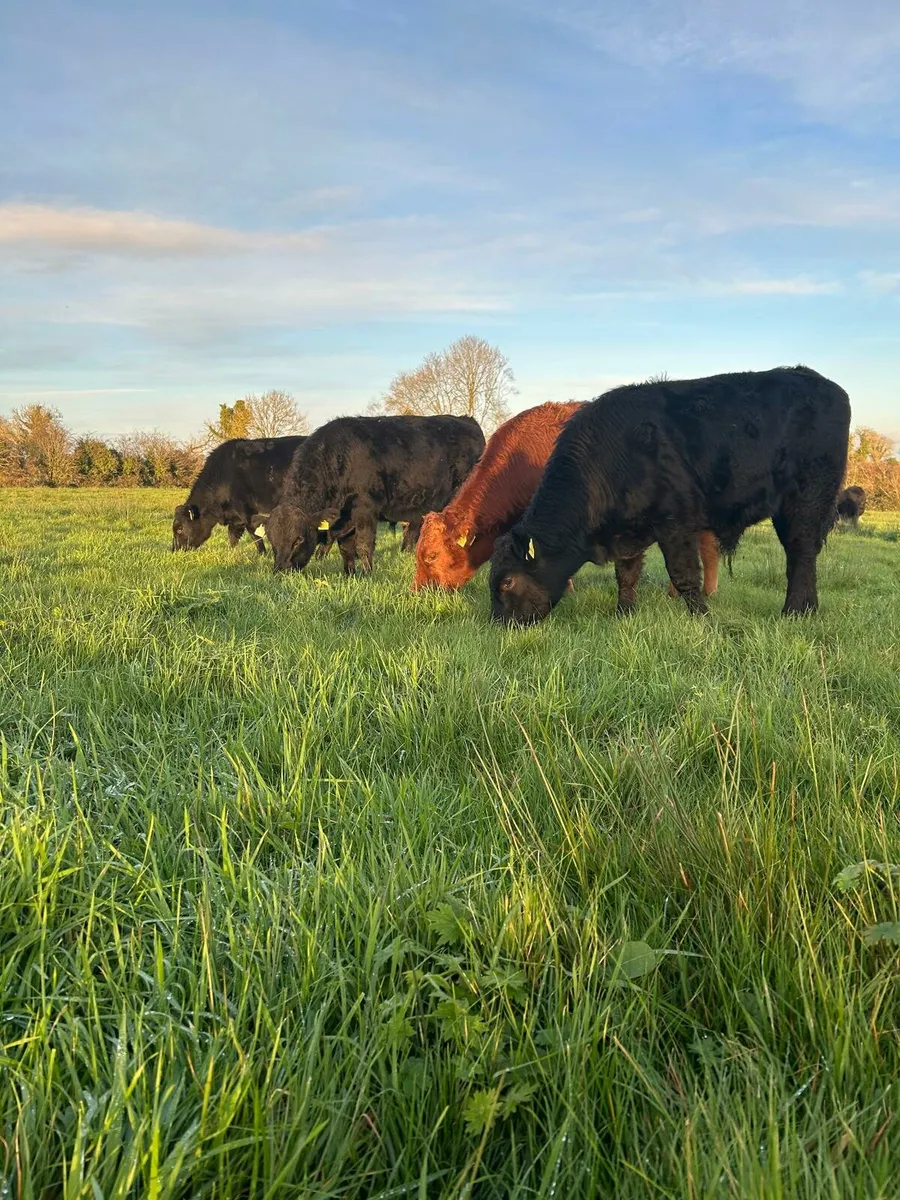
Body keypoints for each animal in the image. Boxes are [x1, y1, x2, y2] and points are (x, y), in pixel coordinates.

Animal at [171, 436, 306, 553]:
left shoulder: (244, 508)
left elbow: (254, 532)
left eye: (180, 528)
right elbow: (233, 536)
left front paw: (262, 554)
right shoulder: (235, 517)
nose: (174, 550)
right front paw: (232, 553)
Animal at [265, 414, 485, 574]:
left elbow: (363, 544)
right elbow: (346, 548)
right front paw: (349, 575)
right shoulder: (345, 518)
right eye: (271, 540)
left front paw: (367, 574)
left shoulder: (365, 508)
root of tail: (466, 419)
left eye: (298, 540)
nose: (280, 570)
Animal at [489, 366, 850, 626]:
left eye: (506, 582)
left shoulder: (676, 523)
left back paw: (794, 611)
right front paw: (624, 614)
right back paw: (807, 609)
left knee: (801, 553)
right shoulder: (627, 533)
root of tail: (822, 382)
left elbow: (684, 574)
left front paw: (702, 618)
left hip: (806, 500)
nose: (498, 624)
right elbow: (627, 575)